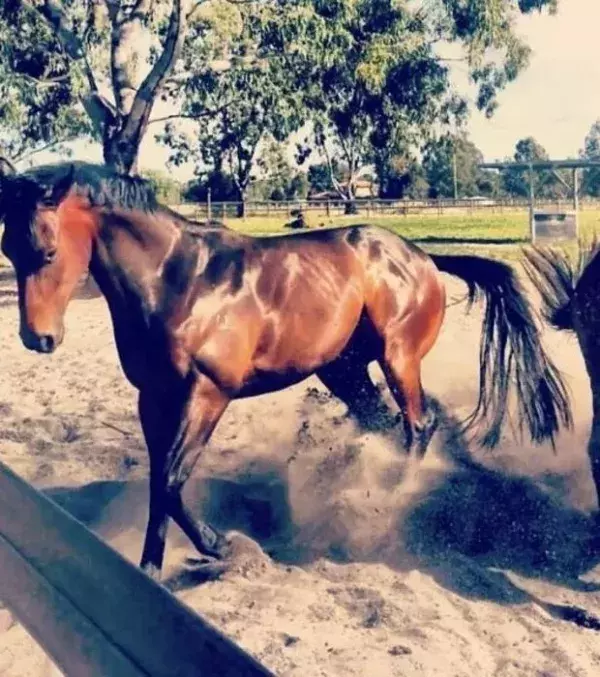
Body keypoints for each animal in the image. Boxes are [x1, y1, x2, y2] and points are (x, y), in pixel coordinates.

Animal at [0, 161, 572, 581]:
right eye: (9, 247)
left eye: (48, 251)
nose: (38, 339)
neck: (178, 281)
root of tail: (423, 258)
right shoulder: (153, 397)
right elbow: (159, 482)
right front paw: (149, 570)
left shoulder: (206, 394)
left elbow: (172, 479)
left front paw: (226, 546)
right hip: (344, 372)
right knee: (396, 422)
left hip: (398, 359)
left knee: (418, 424)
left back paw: (392, 499)